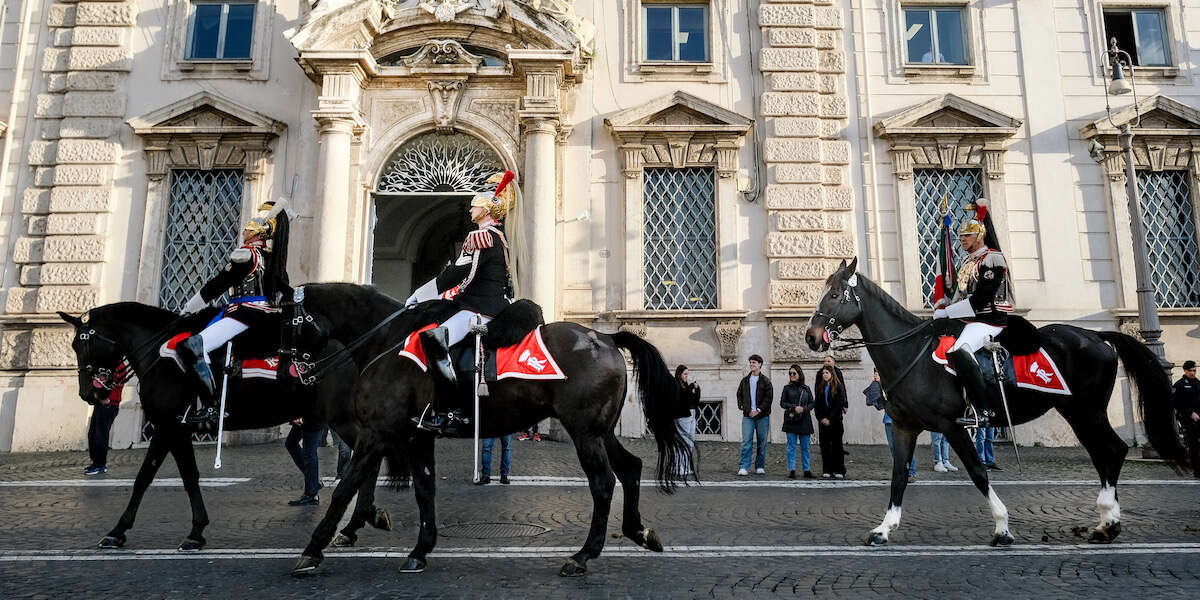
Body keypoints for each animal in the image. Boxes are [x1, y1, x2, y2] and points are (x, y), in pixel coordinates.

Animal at [59, 304, 388, 552]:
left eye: (81, 344)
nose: (88, 394)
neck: (160, 356)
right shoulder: (174, 429)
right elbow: (175, 477)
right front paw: (192, 530)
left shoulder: (169, 427)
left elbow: (156, 477)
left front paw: (123, 530)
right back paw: (356, 523)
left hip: (343, 418)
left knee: (366, 461)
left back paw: (356, 522)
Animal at [283, 284, 696, 576]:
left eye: (282, 317)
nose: (292, 369)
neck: (389, 345)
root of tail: (607, 337)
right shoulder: (417, 435)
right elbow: (424, 489)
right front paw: (419, 550)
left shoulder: (376, 433)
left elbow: (345, 489)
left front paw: (312, 551)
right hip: (601, 430)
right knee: (630, 468)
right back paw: (639, 533)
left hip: (586, 433)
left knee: (604, 483)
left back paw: (582, 556)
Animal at [801, 258, 1185, 549]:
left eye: (834, 294)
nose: (811, 336)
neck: (911, 354)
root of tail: (1099, 336)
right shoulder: (904, 427)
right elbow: (898, 476)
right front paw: (883, 529)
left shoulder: (952, 426)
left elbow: (977, 471)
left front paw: (1001, 527)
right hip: (1075, 411)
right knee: (1105, 453)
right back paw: (1106, 523)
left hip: (1086, 410)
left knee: (1112, 450)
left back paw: (1108, 520)